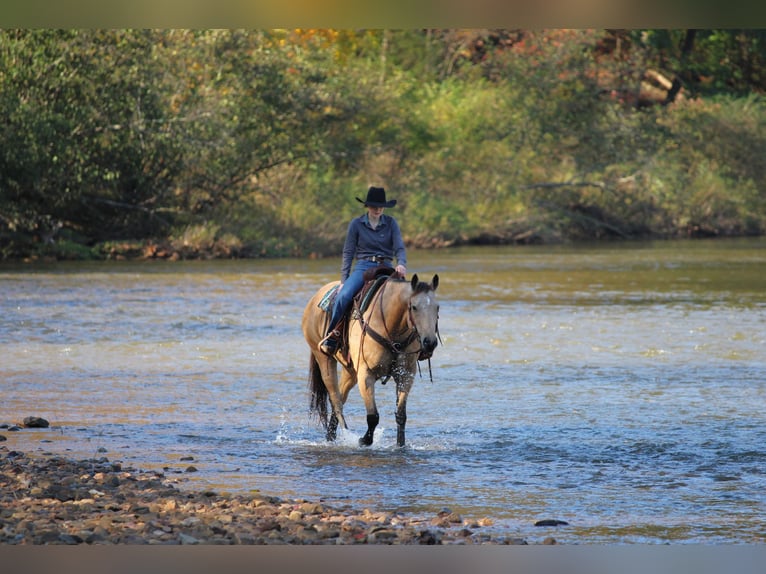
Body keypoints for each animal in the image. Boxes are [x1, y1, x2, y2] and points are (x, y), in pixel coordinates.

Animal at [301, 272, 440, 447]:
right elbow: (373, 416)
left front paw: (400, 445)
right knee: (336, 401)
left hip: (350, 371)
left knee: (340, 397)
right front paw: (364, 440)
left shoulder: (406, 375)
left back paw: (331, 437)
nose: (430, 342)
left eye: (437, 307)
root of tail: (315, 297)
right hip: (324, 359)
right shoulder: (366, 374)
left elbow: (401, 415)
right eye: (414, 307)